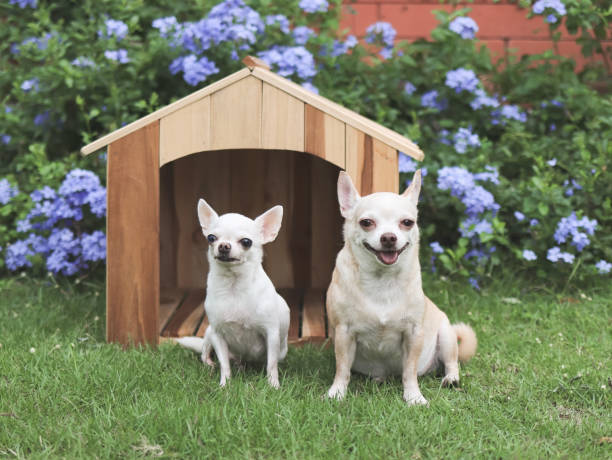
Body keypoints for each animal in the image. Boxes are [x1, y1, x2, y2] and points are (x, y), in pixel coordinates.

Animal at [176, 200, 290, 388]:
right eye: (211, 238)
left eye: (246, 242)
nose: (223, 246)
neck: (233, 286)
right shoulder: (218, 334)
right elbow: (224, 363)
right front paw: (225, 385)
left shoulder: (271, 334)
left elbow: (271, 364)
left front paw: (273, 385)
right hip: (209, 333)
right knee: (205, 352)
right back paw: (211, 364)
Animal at [326, 171, 478, 404]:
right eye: (366, 222)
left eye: (407, 222)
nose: (389, 237)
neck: (382, 280)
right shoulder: (344, 333)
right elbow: (342, 368)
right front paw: (337, 392)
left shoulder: (413, 334)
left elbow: (409, 371)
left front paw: (413, 396)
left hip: (447, 335)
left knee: (452, 362)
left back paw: (451, 379)